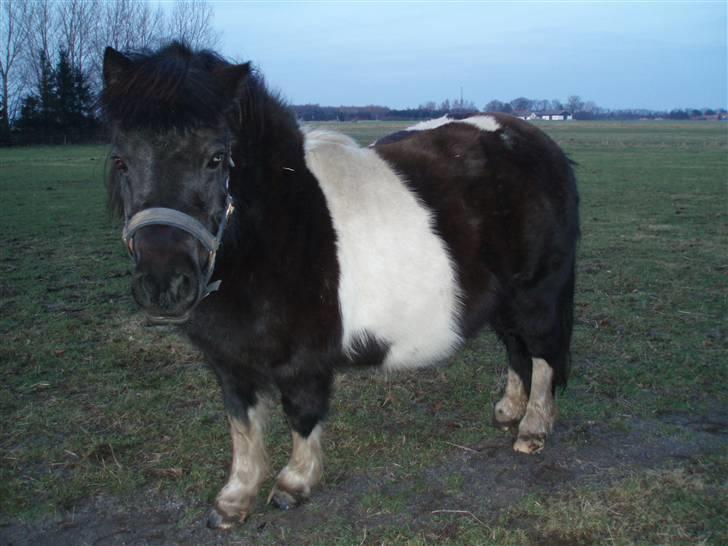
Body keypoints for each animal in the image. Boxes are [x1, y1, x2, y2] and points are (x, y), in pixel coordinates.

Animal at [101, 43, 580, 528]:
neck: (278, 225)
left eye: (216, 157)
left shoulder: (303, 360)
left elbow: (302, 414)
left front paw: (294, 484)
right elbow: (243, 426)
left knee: (541, 352)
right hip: (506, 300)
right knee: (516, 348)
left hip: (536, 293)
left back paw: (533, 428)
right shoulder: (229, 362)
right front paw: (234, 499)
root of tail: (542, 146)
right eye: (120, 160)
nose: (164, 284)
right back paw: (509, 411)